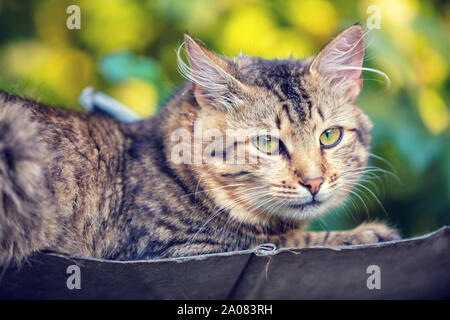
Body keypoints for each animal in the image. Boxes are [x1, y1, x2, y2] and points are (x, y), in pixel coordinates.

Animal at [0, 24, 398, 264]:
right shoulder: (177, 249)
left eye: (329, 136)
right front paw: (365, 234)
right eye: (267, 143)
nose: (314, 182)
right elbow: (290, 242)